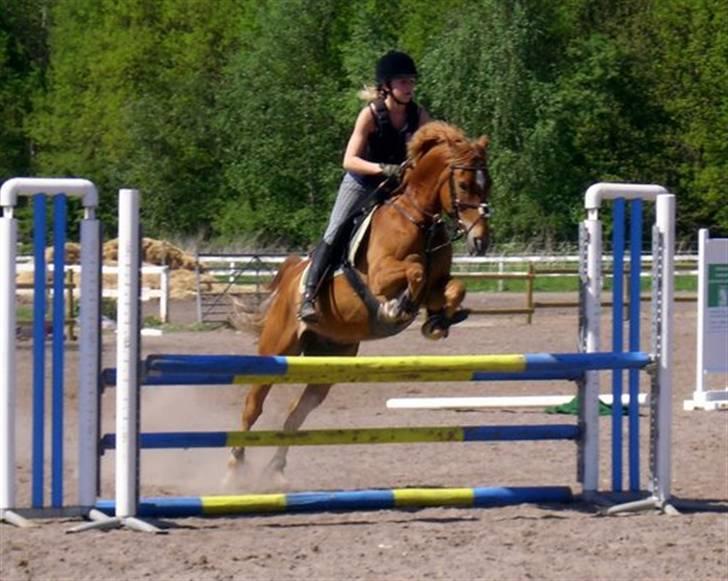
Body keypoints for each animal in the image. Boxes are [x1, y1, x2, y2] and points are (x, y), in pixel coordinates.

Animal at [226, 121, 491, 487]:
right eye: (464, 184)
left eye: (487, 183)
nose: (481, 241)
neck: (418, 217)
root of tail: (293, 274)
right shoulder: (380, 276)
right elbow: (415, 269)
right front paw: (397, 308)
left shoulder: (438, 283)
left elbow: (454, 287)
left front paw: (437, 322)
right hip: (278, 347)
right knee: (254, 402)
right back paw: (234, 467)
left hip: (330, 358)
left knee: (297, 412)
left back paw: (276, 470)